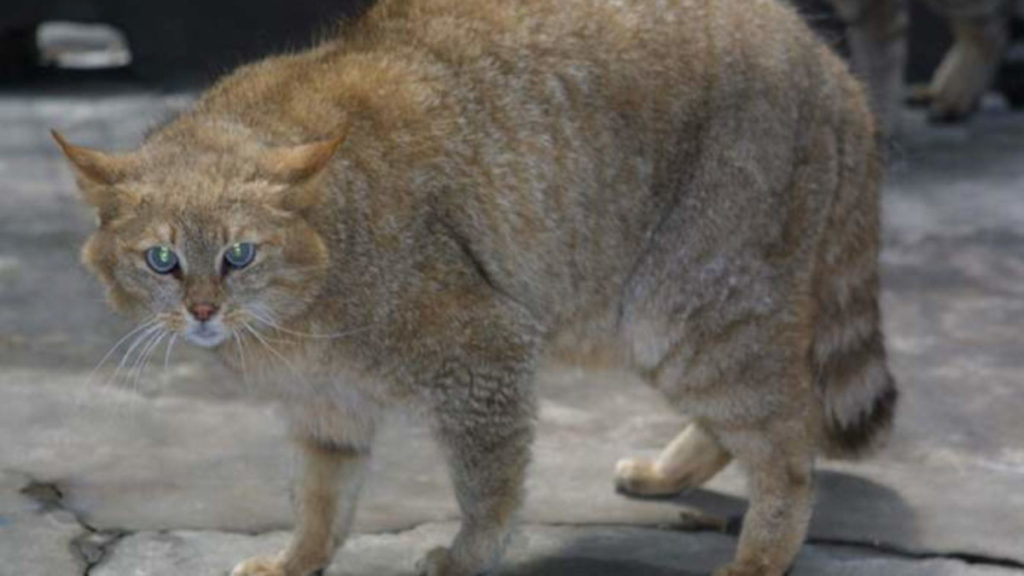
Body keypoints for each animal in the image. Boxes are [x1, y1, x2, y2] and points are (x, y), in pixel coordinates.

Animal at [58, 1, 897, 573]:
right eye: (161, 260)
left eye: (239, 254)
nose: (202, 309)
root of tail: (830, 63)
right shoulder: (324, 407)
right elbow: (322, 499)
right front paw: (299, 561)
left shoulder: (484, 351)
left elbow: (487, 481)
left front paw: (468, 554)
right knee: (750, 423)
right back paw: (669, 473)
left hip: (689, 309)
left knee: (790, 439)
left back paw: (759, 556)